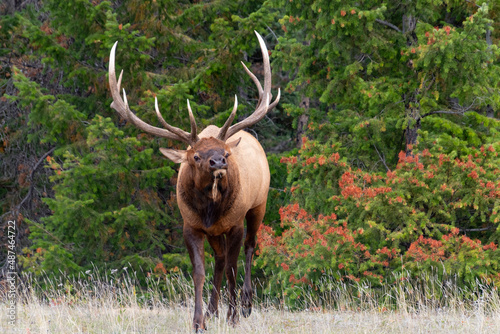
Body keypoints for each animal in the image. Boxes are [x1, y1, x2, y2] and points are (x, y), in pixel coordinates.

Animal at [108, 32, 280, 332]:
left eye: (225, 152)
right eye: (196, 156)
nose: (219, 162)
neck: (211, 210)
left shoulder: (235, 223)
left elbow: (234, 266)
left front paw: (233, 316)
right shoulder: (191, 226)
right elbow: (200, 272)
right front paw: (199, 320)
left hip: (259, 204)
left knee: (249, 248)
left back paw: (246, 305)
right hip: (214, 232)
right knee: (220, 260)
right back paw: (213, 310)